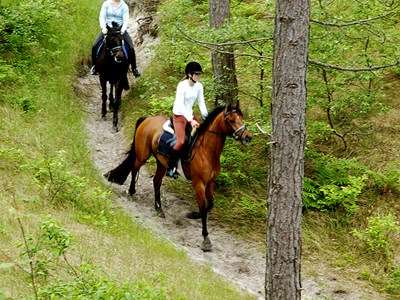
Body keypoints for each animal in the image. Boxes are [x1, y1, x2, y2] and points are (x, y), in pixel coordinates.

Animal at [104, 102, 252, 252]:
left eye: (241, 118)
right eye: (232, 120)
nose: (248, 137)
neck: (207, 151)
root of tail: (147, 119)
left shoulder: (210, 182)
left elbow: (209, 205)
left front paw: (193, 215)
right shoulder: (198, 184)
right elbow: (204, 209)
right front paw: (205, 239)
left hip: (161, 163)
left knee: (156, 181)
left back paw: (159, 208)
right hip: (143, 155)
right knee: (135, 169)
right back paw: (131, 191)